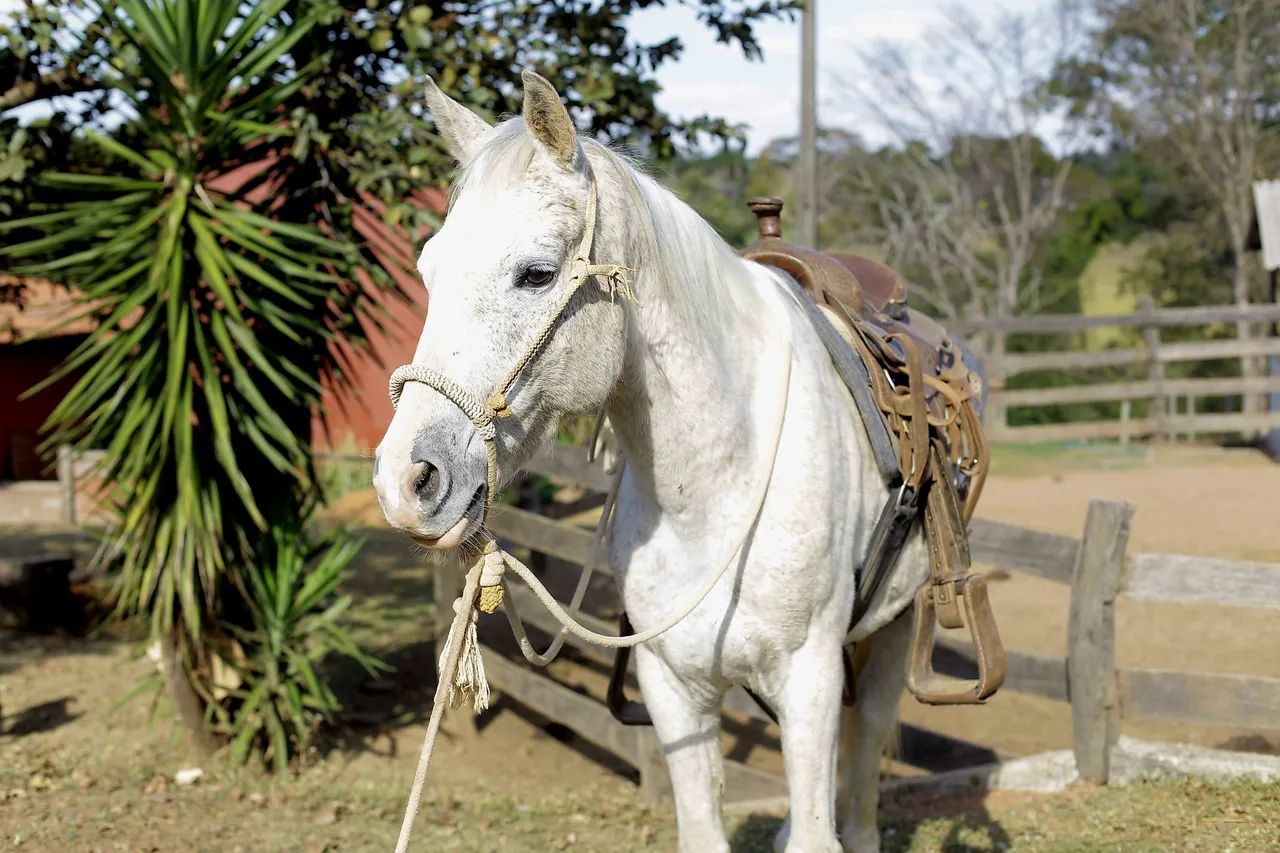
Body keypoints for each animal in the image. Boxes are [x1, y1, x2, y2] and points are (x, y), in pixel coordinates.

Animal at [373, 70, 934, 853]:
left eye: (536, 274)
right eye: (429, 271)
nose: (405, 479)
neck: (714, 485)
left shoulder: (810, 681)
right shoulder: (673, 689)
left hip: (892, 633)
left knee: (859, 781)